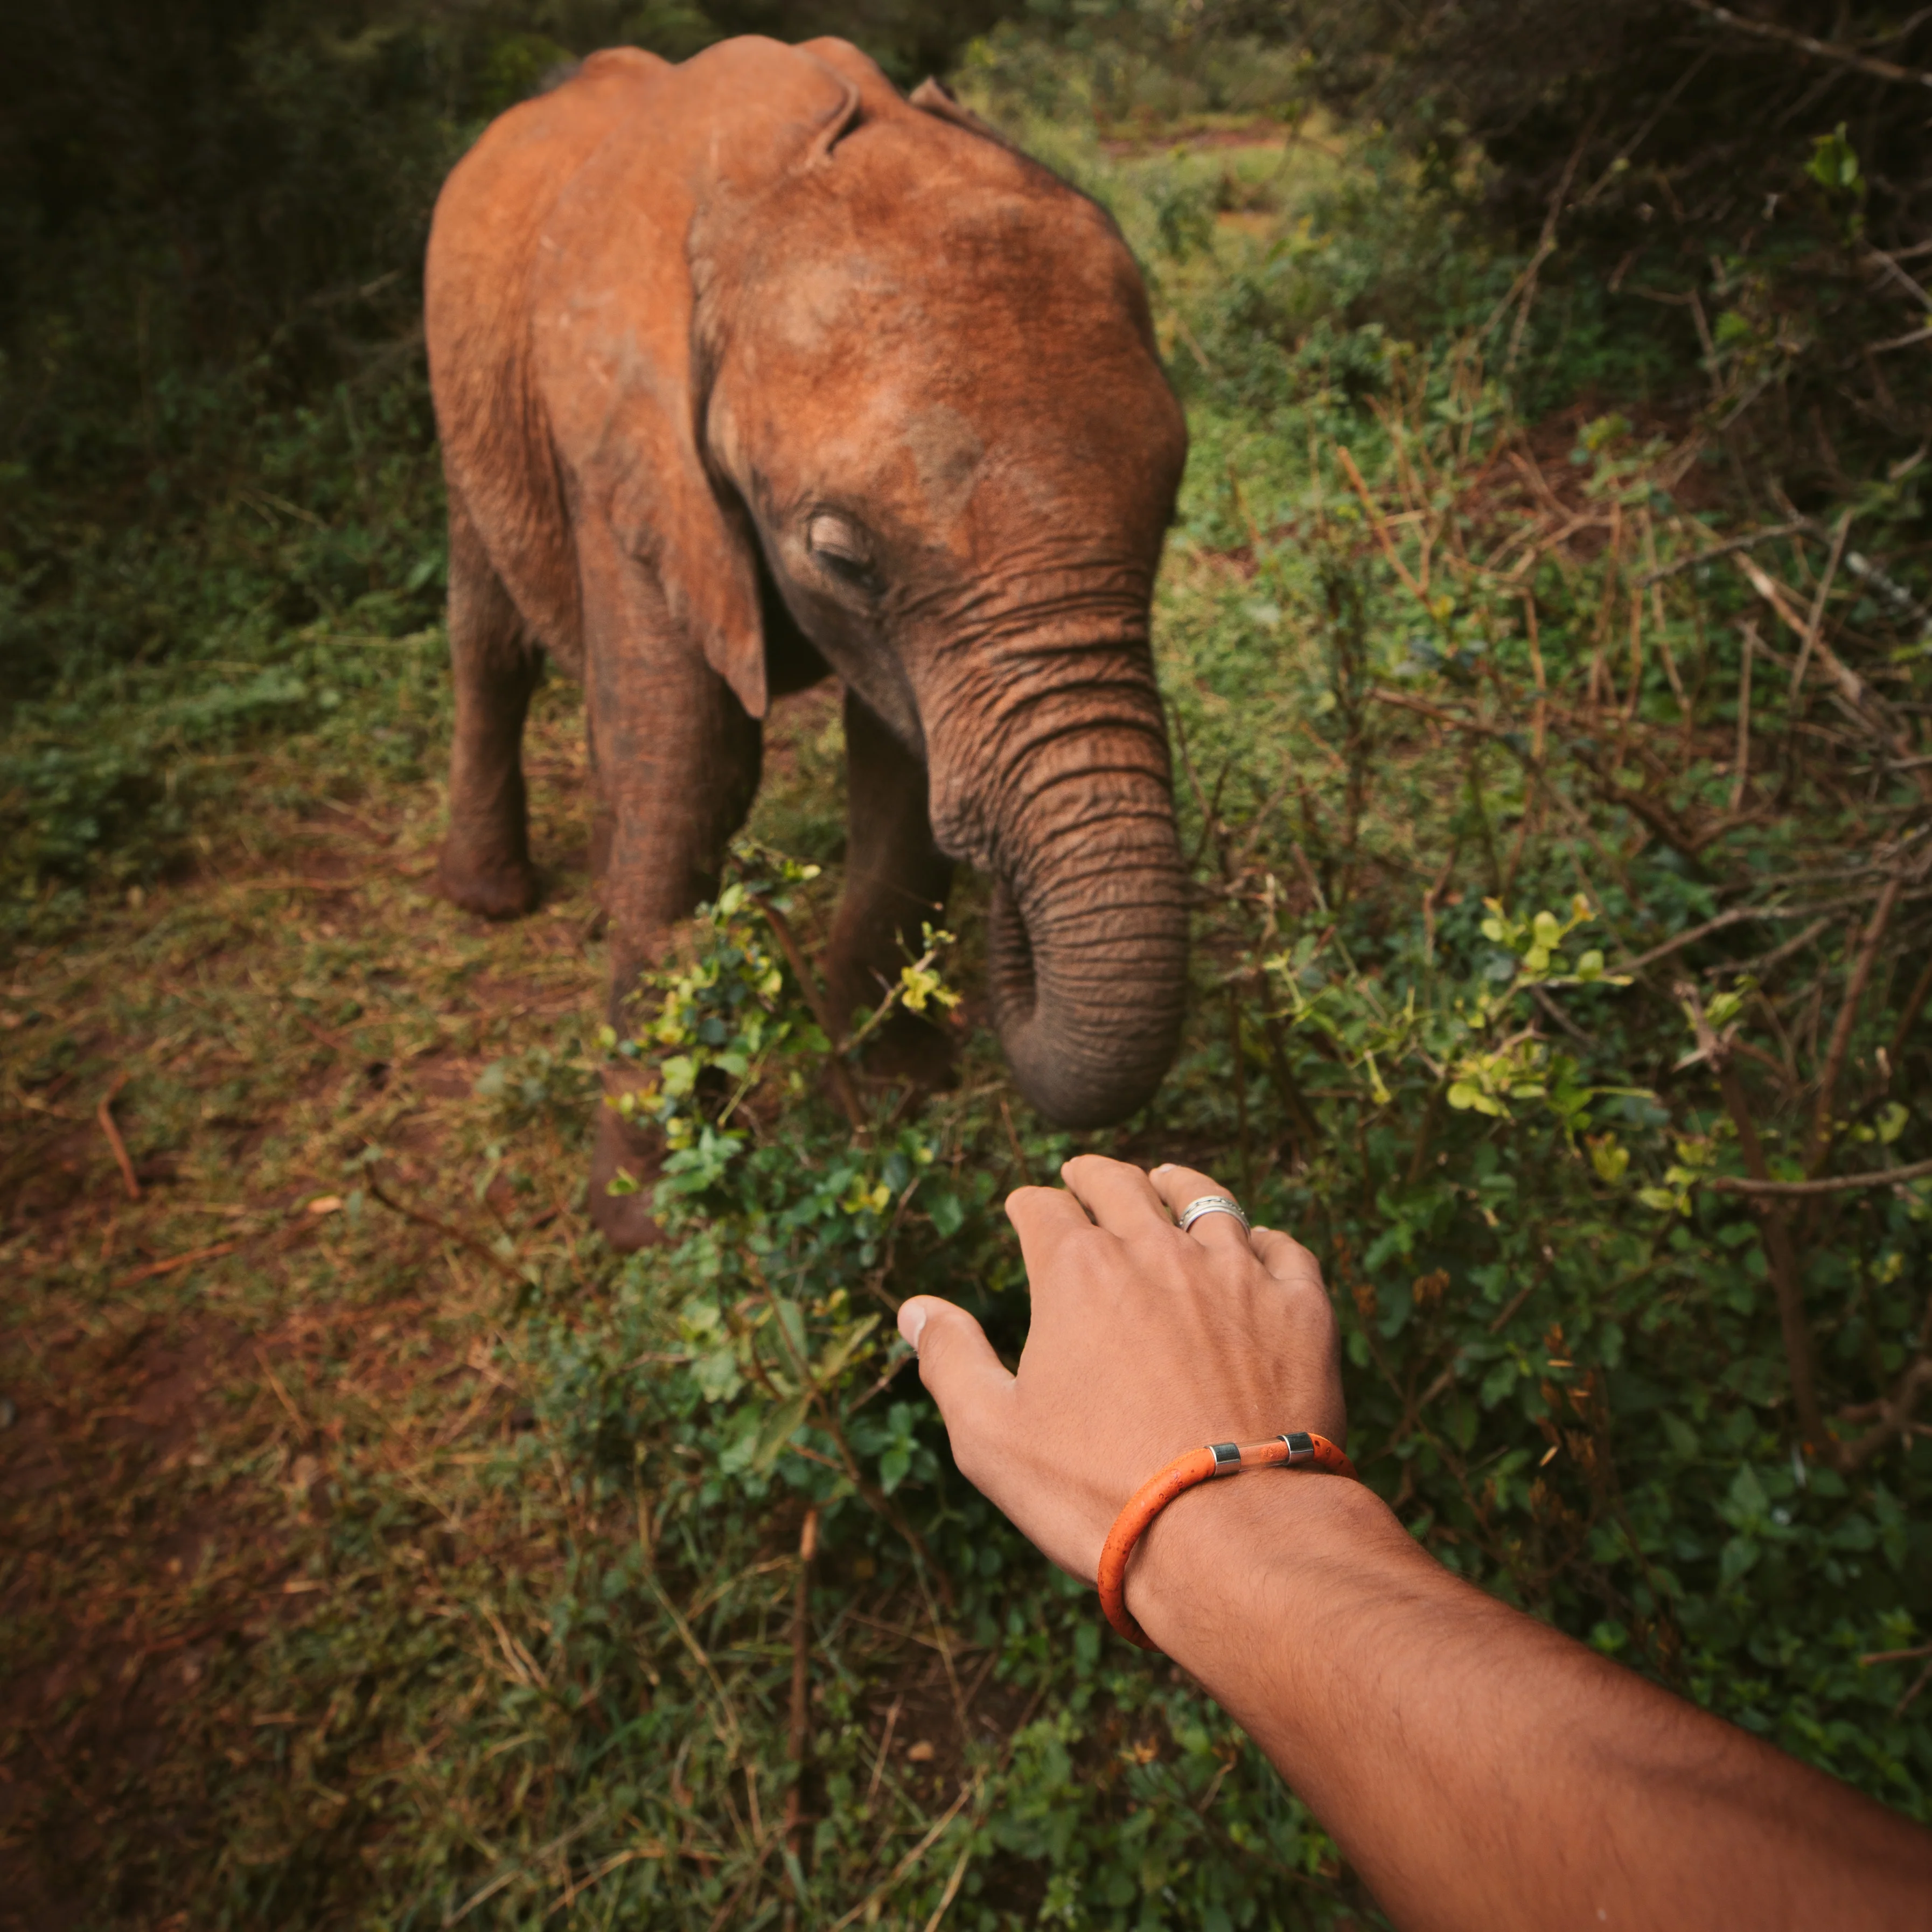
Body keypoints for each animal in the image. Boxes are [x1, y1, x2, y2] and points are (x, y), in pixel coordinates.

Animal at [424, 34, 1190, 1249]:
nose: (1010, 929)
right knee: (494, 640)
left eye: (1171, 501)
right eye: (840, 555)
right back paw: (496, 899)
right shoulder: (632, 453)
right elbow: (693, 772)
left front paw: (892, 1093)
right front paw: (653, 1225)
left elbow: (899, 767)